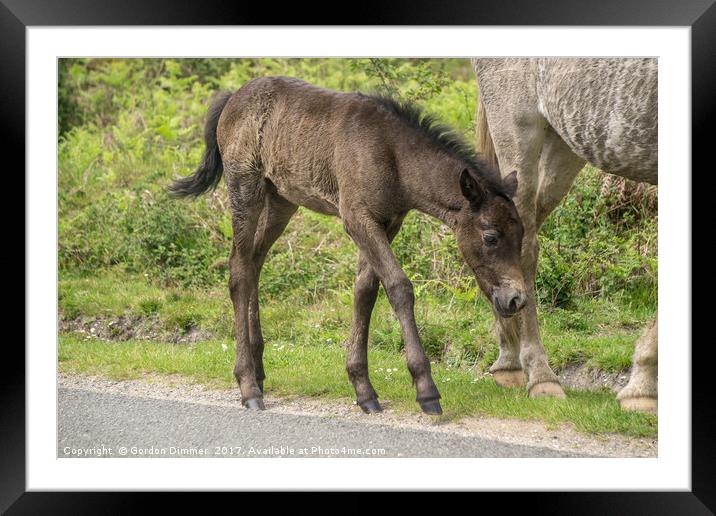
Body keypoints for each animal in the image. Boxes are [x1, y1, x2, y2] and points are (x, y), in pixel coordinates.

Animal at [172, 76, 524, 416]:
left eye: (521, 235)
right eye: (490, 237)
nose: (515, 299)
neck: (393, 156)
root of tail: (232, 98)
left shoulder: (388, 222)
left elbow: (365, 292)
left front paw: (363, 389)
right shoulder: (357, 218)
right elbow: (398, 286)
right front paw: (426, 390)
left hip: (281, 200)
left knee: (255, 261)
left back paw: (258, 373)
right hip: (245, 188)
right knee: (239, 270)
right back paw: (248, 386)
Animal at [472, 57, 656, 412]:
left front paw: (644, 385)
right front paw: (642, 384)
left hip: (565, 140)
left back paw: (508, 357)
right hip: (517, 126)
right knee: (524, 246)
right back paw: (540, 376)